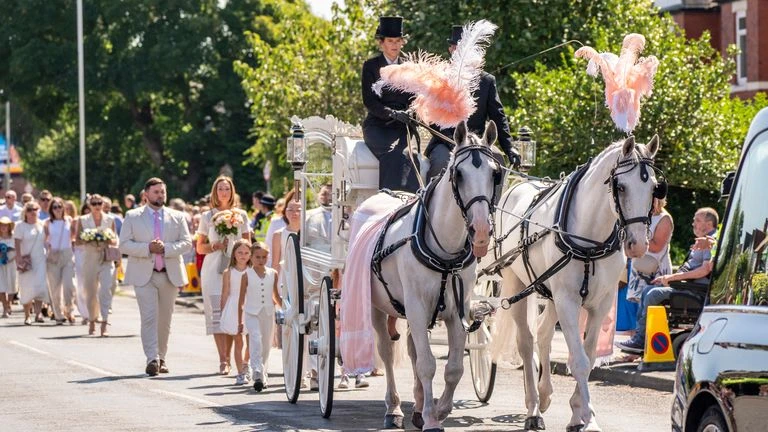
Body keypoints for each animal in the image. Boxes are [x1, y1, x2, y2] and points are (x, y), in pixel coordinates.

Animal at [364, 120, 500, 430]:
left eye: (495, 173)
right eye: (458, 174)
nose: (481, 231)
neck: (445, 251)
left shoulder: (457, 310)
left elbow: (453, 368)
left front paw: (440, 410)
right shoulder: (415, 306)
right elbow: (427, 365)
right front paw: (430, 418)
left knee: (413, 349)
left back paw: (416, 405)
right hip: (378, 306)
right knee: (386, 352)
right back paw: (394, 408)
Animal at [492, 134, 660, 428]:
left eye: (653, 187)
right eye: (621, 187)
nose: (638, 245)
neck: (590, 239)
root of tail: (517, 185)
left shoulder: (600, 303)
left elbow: (589, 357)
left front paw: (577, 413)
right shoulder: (568, 301)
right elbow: (579, 361)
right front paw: (589, 418)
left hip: (549, 292)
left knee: (543, 333)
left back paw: (545, 394)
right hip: (516, 285)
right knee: (526, 342)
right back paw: (533, 408)